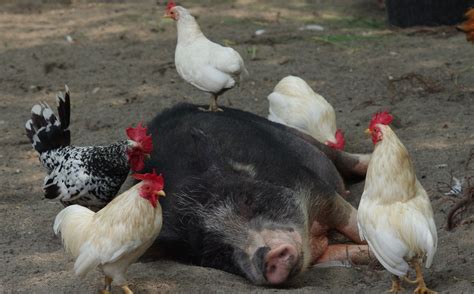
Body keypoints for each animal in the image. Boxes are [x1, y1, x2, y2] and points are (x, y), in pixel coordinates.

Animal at [144, 103, 374, 284]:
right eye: (215, 251)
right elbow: (350, 251)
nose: (267, 256)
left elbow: (353, 223)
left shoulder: (314, 186)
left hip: (288, 132)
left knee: (340, 156)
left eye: (248, 200)